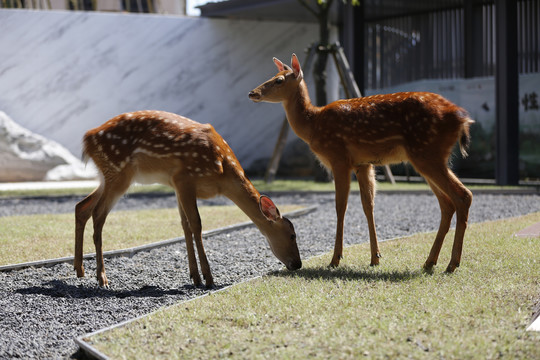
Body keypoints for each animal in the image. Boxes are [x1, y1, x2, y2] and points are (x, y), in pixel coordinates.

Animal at [75, 111, 304, 288]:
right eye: (292, 235)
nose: (298, 264)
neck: (222, 173)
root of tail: (87, 138)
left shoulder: (177, 184)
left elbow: (184, 224)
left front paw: (195, 276)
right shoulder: (185, 177)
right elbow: (196, 224)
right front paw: (208, 278)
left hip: (109, 176)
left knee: (82, 206)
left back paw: (80, 270)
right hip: (118, 171)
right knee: (98, 213)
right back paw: (102, 278)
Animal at [249, 54, 472, 272]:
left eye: (279, 80)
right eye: (272, 76)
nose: (252, 93)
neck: (313, 124)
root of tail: (462, 118)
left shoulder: (339, 158)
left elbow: (340, 206)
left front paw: (335, 259)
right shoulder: (364, 164)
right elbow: (368, 205)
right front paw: (375, 258)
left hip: (427, 153)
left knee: (463, 195)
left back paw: (452, 263)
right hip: (428, 157)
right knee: (447, 203)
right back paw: (430, 262)